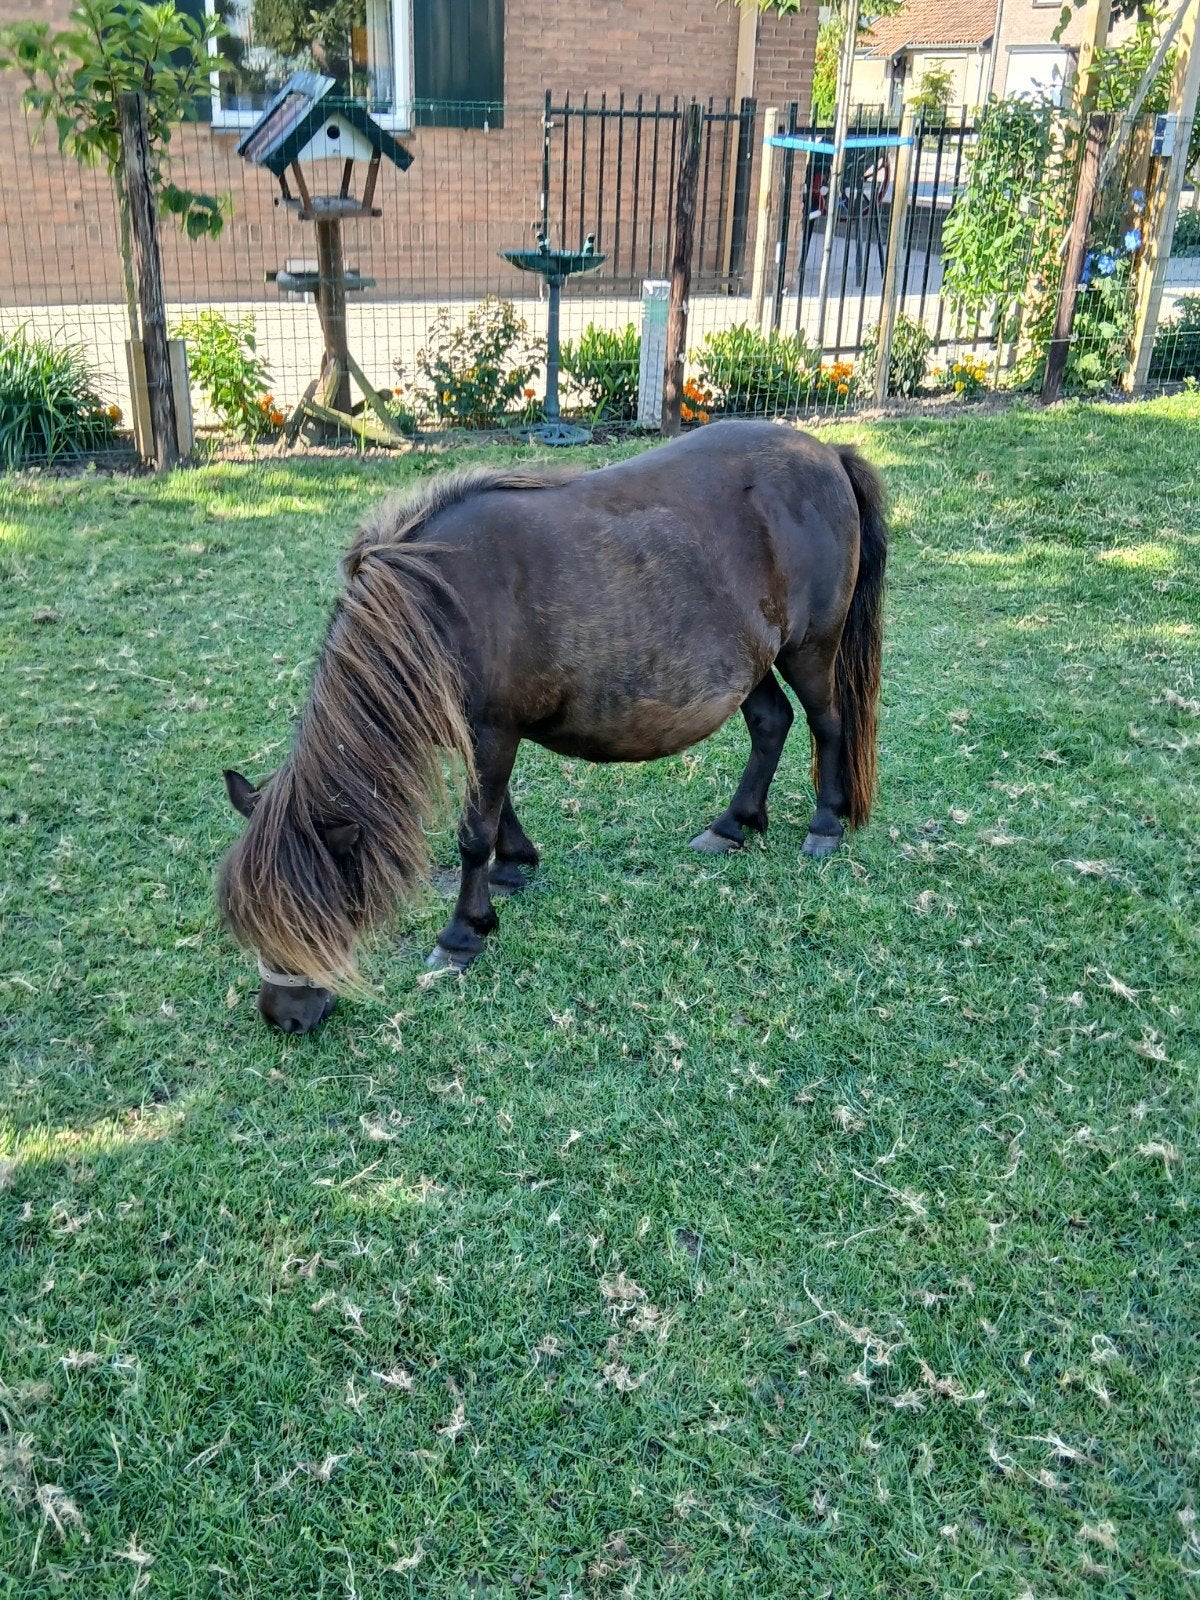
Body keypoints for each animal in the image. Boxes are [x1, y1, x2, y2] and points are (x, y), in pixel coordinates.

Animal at [218, 421, 888, 1032]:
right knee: (771, 723)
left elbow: (473, 832)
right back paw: (733, 825)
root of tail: (828, 453)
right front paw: (512, 869)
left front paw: (463, 934)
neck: (436, 606)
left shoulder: (493, 730)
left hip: (810, 650)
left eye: (312, 918)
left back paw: (824, 826)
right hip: (752, 663)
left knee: (827, 725)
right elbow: (495, 812)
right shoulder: (484, 733)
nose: (282, 1016)